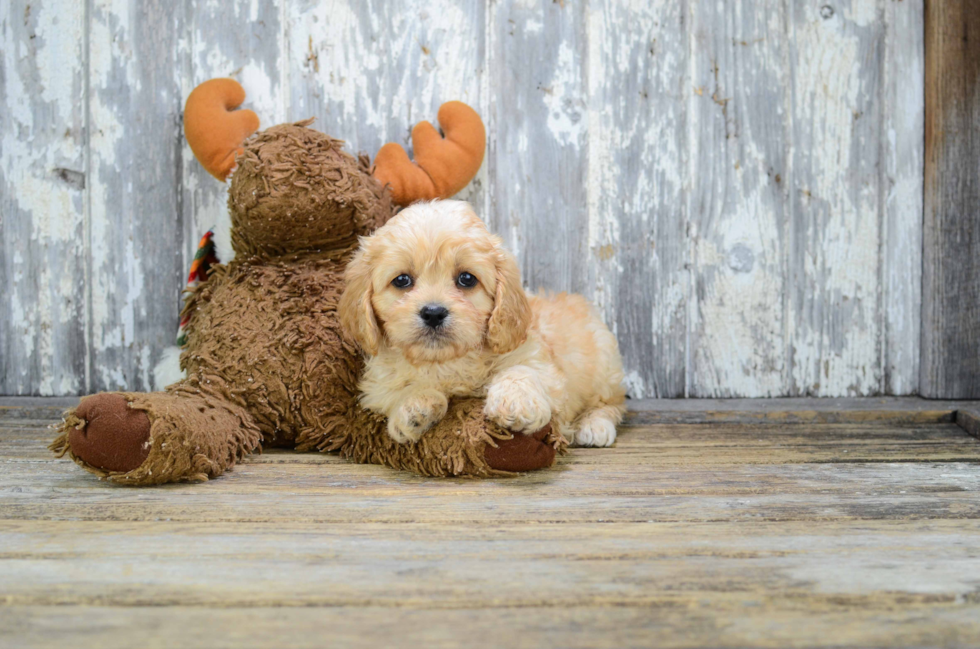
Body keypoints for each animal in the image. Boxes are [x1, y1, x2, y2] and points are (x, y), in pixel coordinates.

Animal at [340, 200, 624, 448]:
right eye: (402, 280)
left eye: (467, 279)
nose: (433, 313)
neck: (445, 362)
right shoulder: (376, 388)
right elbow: (396, 391)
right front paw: (413, 405)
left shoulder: (538, 361)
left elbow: (522, 371)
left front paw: (515, 402)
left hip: (604, 365)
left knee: (612, 402)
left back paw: (594, 426)